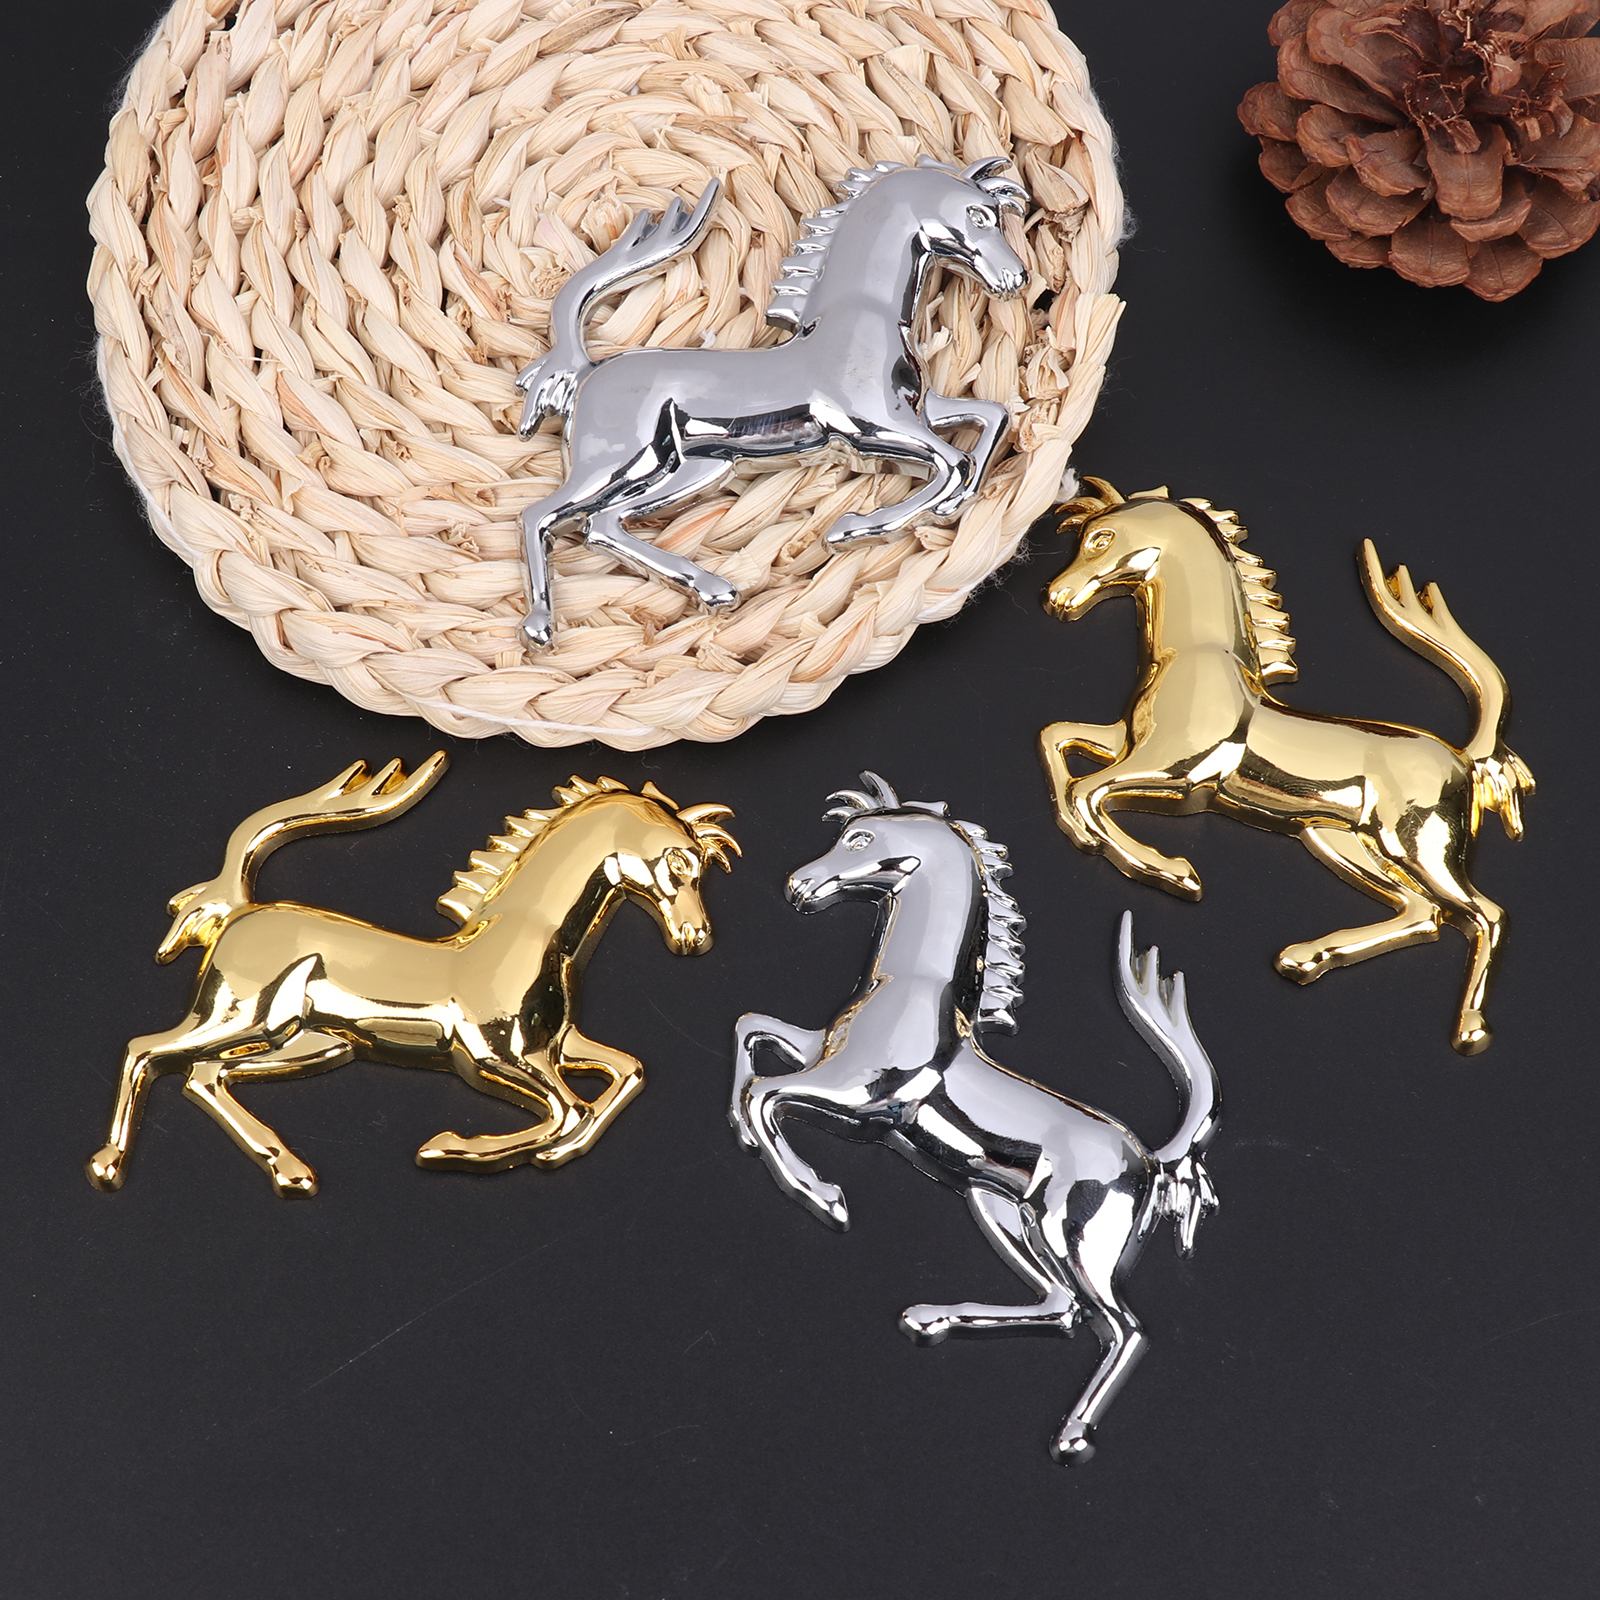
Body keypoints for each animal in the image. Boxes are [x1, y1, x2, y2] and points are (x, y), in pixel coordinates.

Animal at [88, 756, 738, 1197]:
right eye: (679, 861)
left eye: (705, 867)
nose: (695, 938)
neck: (533, 940)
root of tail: (242, 910)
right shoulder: (492, 1057)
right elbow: (568, 1110)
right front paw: (449, 1149)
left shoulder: (556, 1045)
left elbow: (625, 1072)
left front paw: (553, 1152)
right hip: (241, 1014)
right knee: (147, 1051)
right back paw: (108, 1163)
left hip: (313, 1043)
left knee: (204, 1077)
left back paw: (291, 1169)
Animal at [512, 156, 1030, 647]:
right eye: (979, 215)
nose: (1017, 278)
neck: (862, 318)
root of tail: (586, 373)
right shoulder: (869, 426)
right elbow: (954, 460)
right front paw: (852, 527)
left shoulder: (918, 409)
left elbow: (992, 416)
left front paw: (950, 505)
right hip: (625, 461)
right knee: (542, 516)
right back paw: (540, 626)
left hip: (696, 467)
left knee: (603, 524)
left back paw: (712, 588)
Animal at [729, 773, 1221, 1464]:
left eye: (861, 839)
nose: (799, 887)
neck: (909, 985)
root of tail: (1151, 1160)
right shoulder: (824, 1057)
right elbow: (751, 1030)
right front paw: (748, 1131)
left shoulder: (862, 1095)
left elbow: (765, 1092)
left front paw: (825, 1197)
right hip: (997, 1207)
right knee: (1063, 1307)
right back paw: (930, 1317)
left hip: (1074, 1231)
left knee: (1123, 1327)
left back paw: (1071, 1434)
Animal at [1040, 482, 1535, 1055]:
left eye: (1101, 538)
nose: (1056, 596)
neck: (1194, 657)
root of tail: (1463, 758)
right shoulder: (1129, 742)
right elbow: (1056, 739)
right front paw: (1090, 836)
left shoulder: (1179, 770)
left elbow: (1087, 790)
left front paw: (1172, 871)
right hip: (1337, 838)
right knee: (1424, 915)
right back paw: (1305, 957)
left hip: (1416, 842)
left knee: (1485, 916)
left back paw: (1468, 1027)